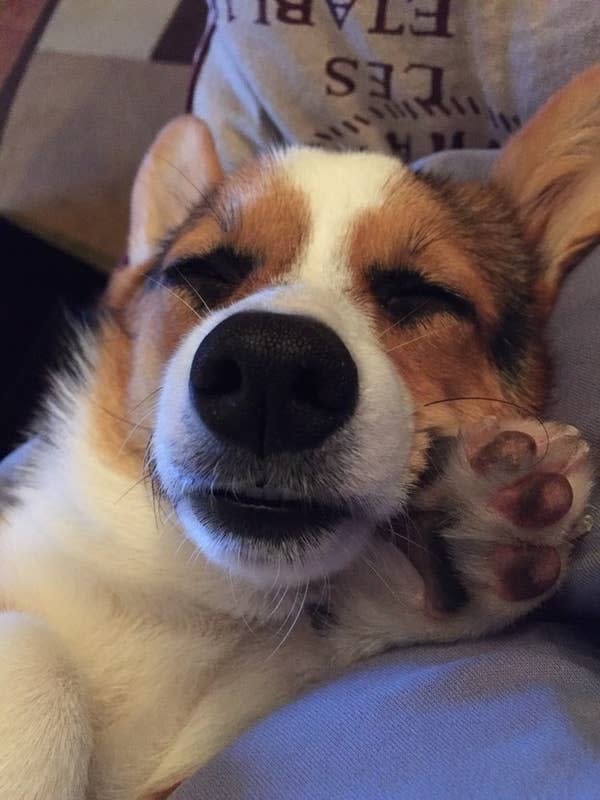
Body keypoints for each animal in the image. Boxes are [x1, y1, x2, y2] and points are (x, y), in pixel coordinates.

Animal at [0, 67, 596, 800]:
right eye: (205, 272)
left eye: (422, 294)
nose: (270, 370)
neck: (200, 599)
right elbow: (35, 651)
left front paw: (457, 552)